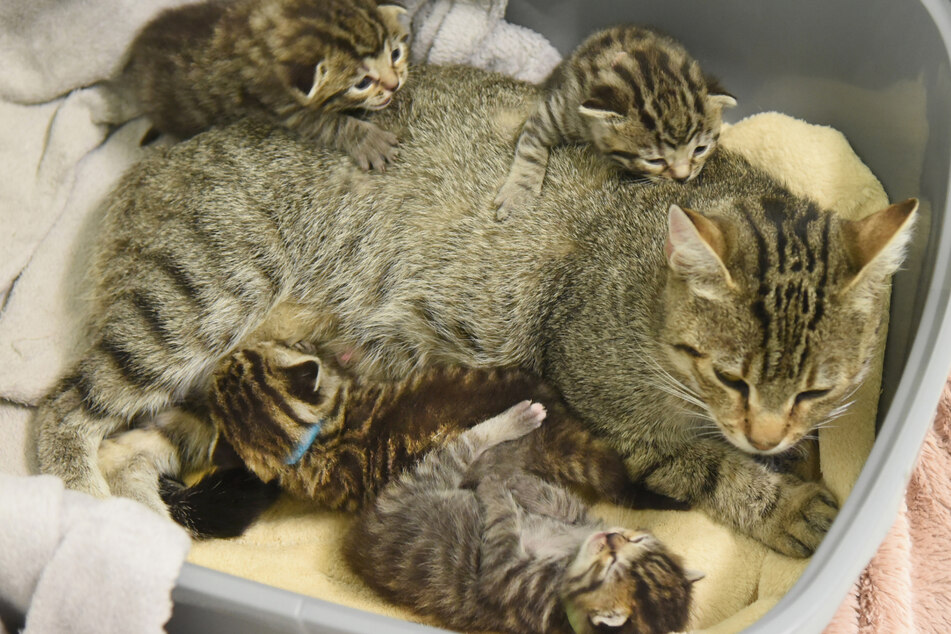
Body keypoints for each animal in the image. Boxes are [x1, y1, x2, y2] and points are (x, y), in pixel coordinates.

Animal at [33, 64, 920, 556]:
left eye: (816, 389)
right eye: (731, 379)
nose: (764, 434)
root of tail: (151, 161)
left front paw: (791, 462)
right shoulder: (611, 406)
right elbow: (704, 465)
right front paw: (781, 503)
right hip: (196, 296)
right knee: (63, 411)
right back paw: (84, 504)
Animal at [114, 0, 410, 170]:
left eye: (395, 54)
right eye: (363, 82)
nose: (394, 84)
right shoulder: (277, 102)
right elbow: (328, 123)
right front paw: (368, 141)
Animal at [346, 400, 704, 632]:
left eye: (611, 565)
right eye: (637, 538)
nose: (613, 536)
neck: (571, 555)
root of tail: (359, 537)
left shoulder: (507, 578)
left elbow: (504, 524)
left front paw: (497, 486)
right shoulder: (581, 519)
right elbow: (558, 501)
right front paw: (516, 483)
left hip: (424, 479)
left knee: (467, 444)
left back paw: (513, 426)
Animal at [494, 25, 740, 220]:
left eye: (700, 149)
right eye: (655, 160)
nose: (683, 177)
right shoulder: (558, 110)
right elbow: (531, 144)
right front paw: (519, 194)